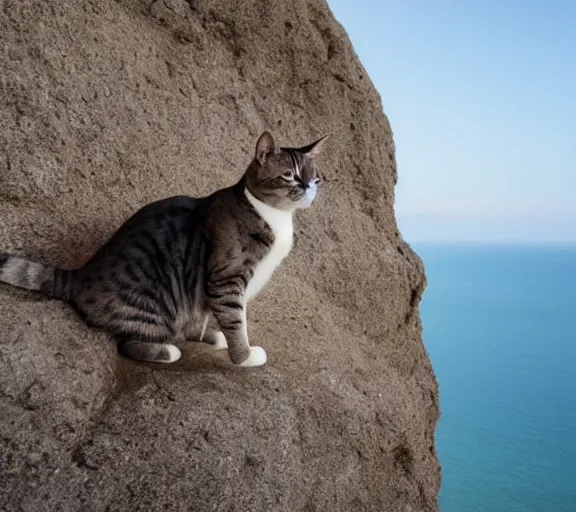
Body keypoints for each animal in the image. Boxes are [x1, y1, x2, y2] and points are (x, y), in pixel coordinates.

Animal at [0, 130, 326, 366]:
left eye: (315, 177)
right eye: (288, 174)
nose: (309, 187)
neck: (274, 215)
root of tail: (79, 275)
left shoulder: (207, 288)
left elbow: (206, 316)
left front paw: (211, 336)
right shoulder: (226, 277)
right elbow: (235, 319)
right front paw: (244, 356)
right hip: (151, 305)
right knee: (127, 343)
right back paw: (168, 351)